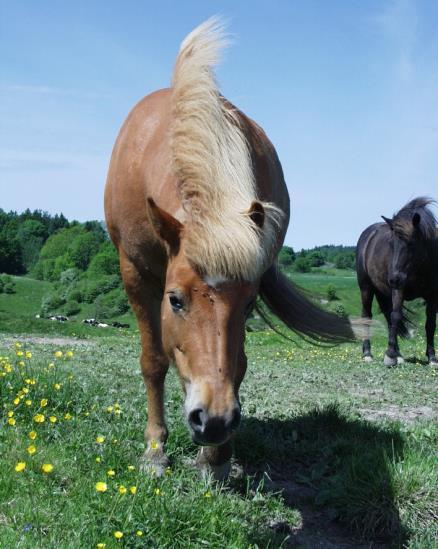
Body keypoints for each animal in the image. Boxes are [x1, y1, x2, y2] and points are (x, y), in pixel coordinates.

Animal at [105, 19, 356, 478]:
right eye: (175, 299)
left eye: (249, 303)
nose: (215, 420)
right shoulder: (135, 274)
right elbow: (153, 361)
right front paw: (155, 450)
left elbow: (236, 365)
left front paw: (215, 460)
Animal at [358, 197, 436, 364]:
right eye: (390, 243)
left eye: (411, 243)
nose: (393, 279)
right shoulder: (398, 290)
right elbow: (396, 316)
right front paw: (389, 355)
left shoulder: (433, 295)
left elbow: (430, 323)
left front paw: (432, 357)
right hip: (366, 288)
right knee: (368, 315)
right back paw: (368, 353)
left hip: (383, 292)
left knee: (388, 317)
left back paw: (398, 355)